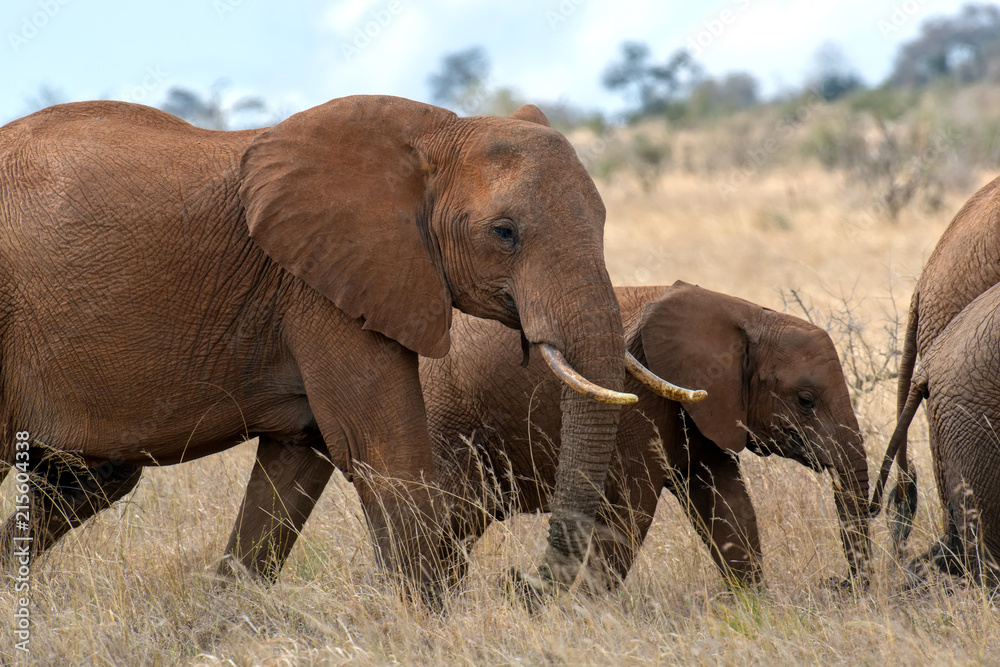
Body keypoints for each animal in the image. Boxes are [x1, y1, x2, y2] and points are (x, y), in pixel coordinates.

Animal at [0, 98, 688, 604]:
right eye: (504, 233)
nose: (520, 584)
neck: (435, 133)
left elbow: (297, 465)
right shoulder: (321, 285)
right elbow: (383, 451)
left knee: (89, 479)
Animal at [420, 282, 868, 596]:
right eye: (806, 401)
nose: (837, 584)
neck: (748, 314)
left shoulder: (704, 411)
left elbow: (727, 503)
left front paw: (754, 606)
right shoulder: (638, 400)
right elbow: (631, 510)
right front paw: (582, 613)